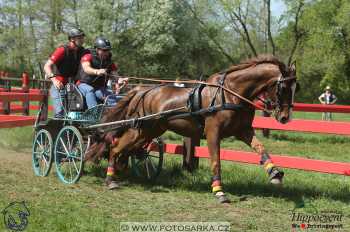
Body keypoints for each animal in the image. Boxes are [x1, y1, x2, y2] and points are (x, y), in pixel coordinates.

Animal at [87, 54, 296, 203]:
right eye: (284, 88)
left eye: (296, 87)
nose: (285, 117)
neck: (230, 93)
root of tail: (141, 90)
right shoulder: (213, 133)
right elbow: (216, 161)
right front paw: (219, 191)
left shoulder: (243, 130)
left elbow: (260, 147)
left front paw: (274, 173)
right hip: (141, 129)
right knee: (116, 146)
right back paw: (110, 179)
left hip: (150, 131)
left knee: (125, 149)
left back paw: (118, 172)